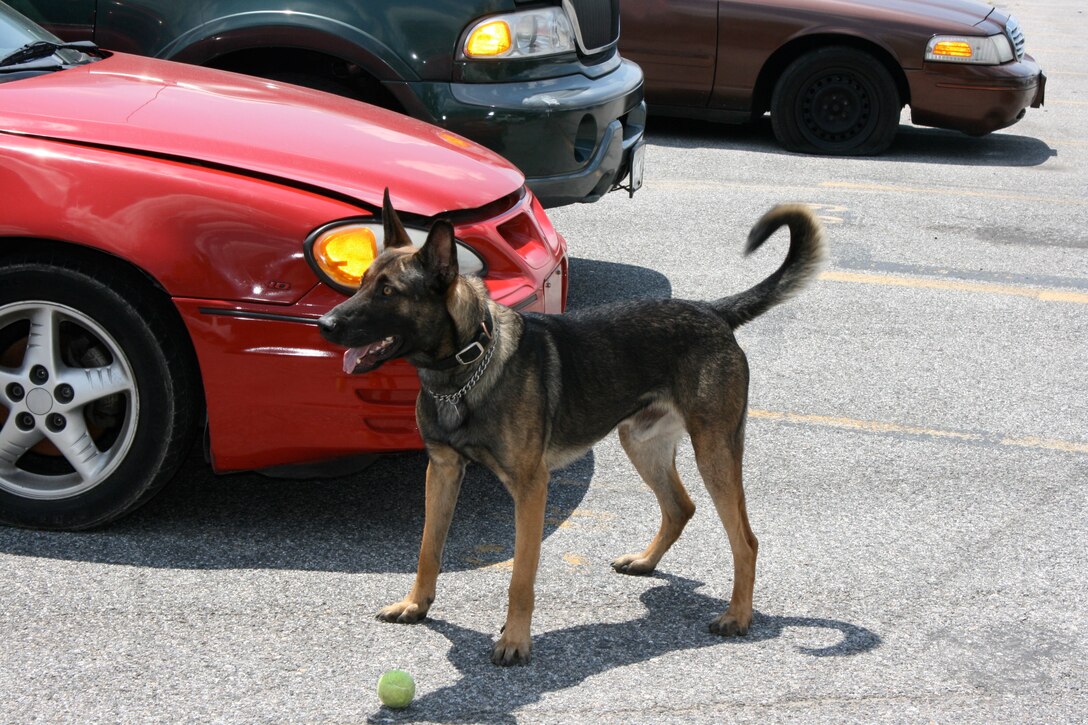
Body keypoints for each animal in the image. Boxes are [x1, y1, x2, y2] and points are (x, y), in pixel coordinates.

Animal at [317, 190, 826, 661]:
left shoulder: (530, 488)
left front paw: (515, 640)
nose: (325, 323)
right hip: (641, 442)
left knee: (746, 540)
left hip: (714, 451)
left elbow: (521, 576)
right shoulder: (441, 471)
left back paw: (738, 615)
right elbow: (428, 548)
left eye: (388, 292)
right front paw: (415, 604)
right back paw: (646, 561)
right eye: (361, 282)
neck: (465, 369)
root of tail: (712, 310)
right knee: (680, 506)